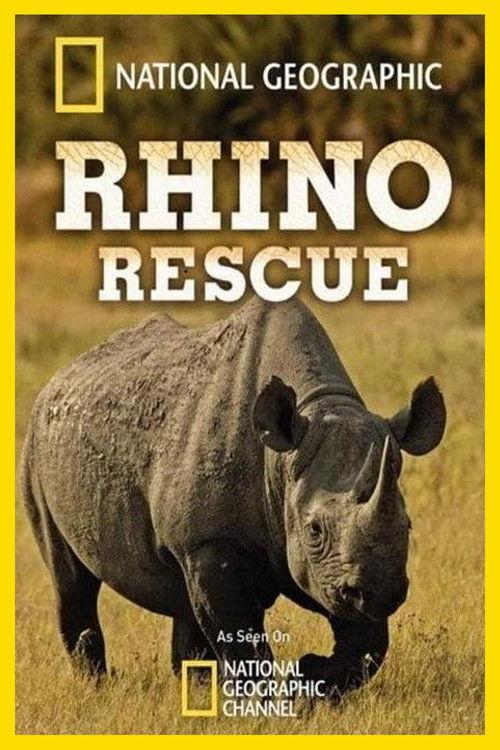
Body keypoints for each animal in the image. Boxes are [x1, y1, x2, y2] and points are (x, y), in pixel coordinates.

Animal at [20, 297, 446, 698]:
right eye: (314, 530)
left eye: (408, 525)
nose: (381, 592)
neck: (283, 459)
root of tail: (60, 376)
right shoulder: (209, 542)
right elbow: (239, 635)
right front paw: (261, 705)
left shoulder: (340, 566)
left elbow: (367, 646)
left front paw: (308, 680)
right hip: (37, 445)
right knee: (69, 578)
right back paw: (98, 686)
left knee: (182, 598)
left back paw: (194, 688)